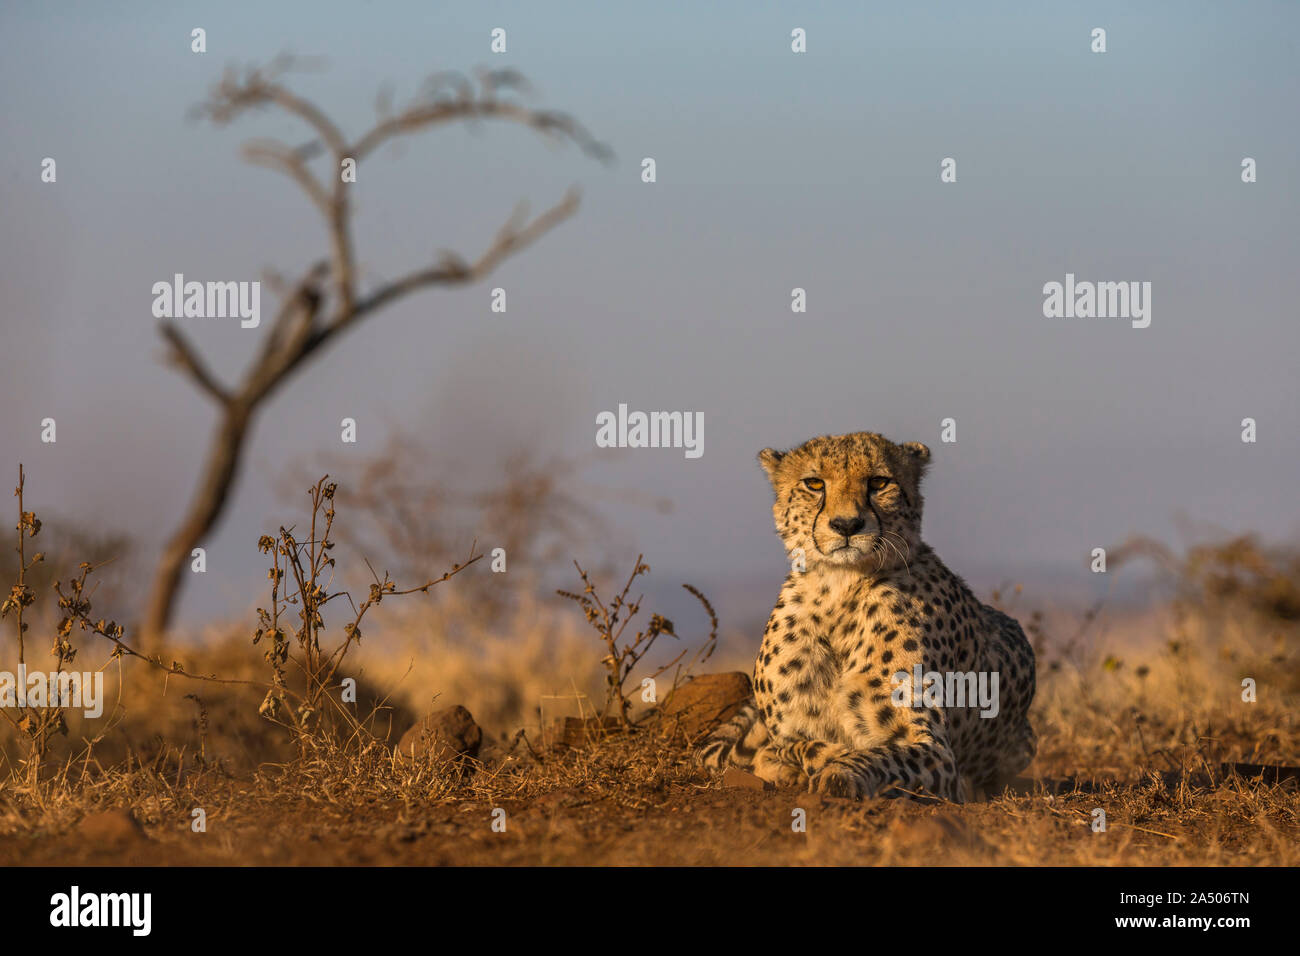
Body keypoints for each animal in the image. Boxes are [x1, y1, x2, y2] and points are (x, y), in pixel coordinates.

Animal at [702, 434, 1034, 801]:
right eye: (814, 483)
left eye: (878, 482)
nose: (847, 524)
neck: (838, 590)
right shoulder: (790, 729)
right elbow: (793, 746)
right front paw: (802, 761)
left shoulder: (935, 748)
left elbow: (877, 756)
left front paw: (839, 771)